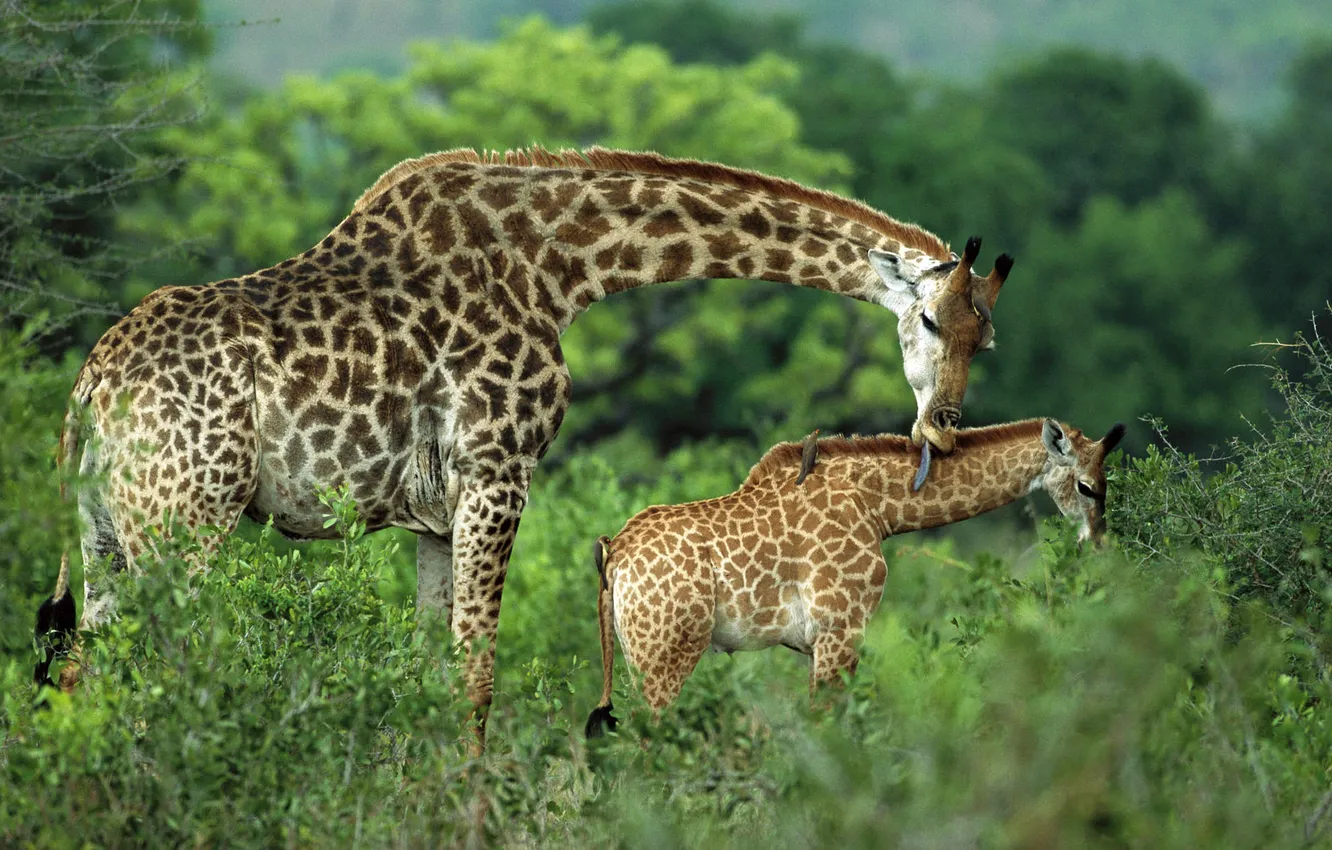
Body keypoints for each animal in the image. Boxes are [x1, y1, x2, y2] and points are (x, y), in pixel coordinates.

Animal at [31, 146, 1015, 752]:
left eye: (988, 338)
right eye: (931, 319)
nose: (941, 426)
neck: (561, 267)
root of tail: (89, 394)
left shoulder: (432, 515)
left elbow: (429, 673)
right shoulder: (499, 474)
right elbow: (478, 678)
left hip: (108, 529)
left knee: (84, 668)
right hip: (186, 523)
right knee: (162, 670)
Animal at [584, 418, 1125, 735]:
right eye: (1087, 486)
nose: (1098, 545)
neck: (878, 506)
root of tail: (613, 553)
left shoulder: (815, 643)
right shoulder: (840, 627)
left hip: (637, 656)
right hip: (666, 653)